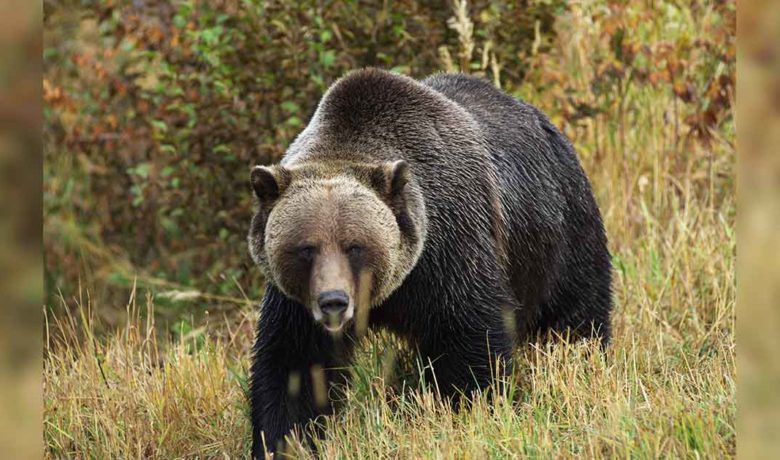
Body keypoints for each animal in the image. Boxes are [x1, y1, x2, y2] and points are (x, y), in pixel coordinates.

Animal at [247, 68, 612, 458]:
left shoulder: (450, 251)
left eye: (354, 246)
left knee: (576, 316)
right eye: (306, 248)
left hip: (559, 234)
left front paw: (469, 412)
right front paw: (285, 440)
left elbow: (471, 341)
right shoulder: (296, 304)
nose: (334, 301)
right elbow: (293, 366)